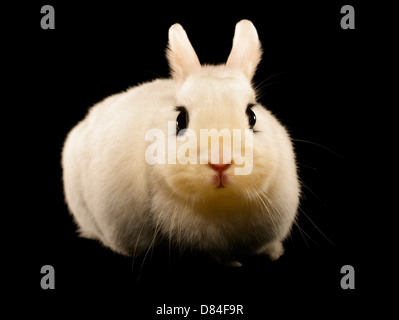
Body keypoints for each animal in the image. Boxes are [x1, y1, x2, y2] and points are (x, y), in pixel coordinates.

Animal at [61, 18, 300, 266]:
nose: (220, 162)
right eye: (180, 119)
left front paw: (274, 252)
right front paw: (232, 263)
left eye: (252, 115)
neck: (222, 203)